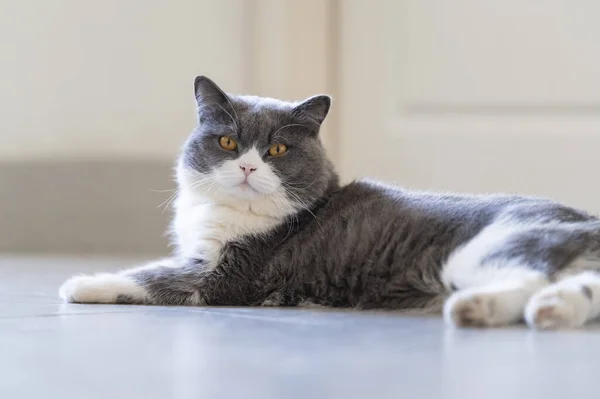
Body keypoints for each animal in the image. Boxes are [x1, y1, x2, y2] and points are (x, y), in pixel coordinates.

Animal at [59, 76, 600, 330]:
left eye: (277, 150)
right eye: (228, 143)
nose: (247, 167)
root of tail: (587, 222)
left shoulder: (226, 275)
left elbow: (154, 276)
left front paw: (81, 283)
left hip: (489, 247)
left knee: (526, 273)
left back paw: (476, 308)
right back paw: (550, 310)